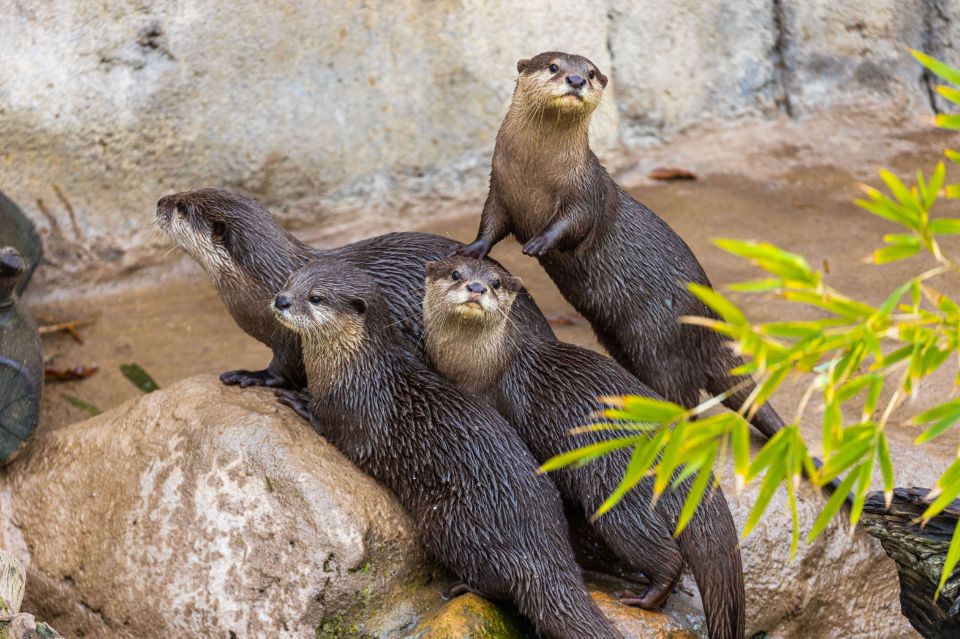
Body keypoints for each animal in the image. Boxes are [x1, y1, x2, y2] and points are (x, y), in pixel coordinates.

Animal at [156, 188, 553, 389]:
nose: (160, 201)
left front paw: (249, 375)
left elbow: (281, 370)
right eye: (185, 190)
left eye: (181, 207)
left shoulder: (289, 338)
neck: (264, 284)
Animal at [271, 258, 621, 639]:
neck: (353, 367)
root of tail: (543, 551)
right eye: (289, 281)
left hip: (447, 522)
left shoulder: (354, 411)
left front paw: (296, 399)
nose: (282, 300)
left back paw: (461, 587)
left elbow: (334, 429)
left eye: (316, 297)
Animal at [423, 257, 745, 639]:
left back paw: (643, 597)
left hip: (619, 500)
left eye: (496, 282)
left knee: (663, 553)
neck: (480, 368)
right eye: (456, 274)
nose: (476, 287)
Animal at [459, 51, 786, 441]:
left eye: (591, 72)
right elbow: (490, 225)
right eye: (554, 66)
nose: (575, 81)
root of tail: (710, 321)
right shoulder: (499, 188)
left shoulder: (585, 192)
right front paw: (472, 249)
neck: (535, 174)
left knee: (683, 394)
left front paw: (539, 242)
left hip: (659, 341)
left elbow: (572, 224)